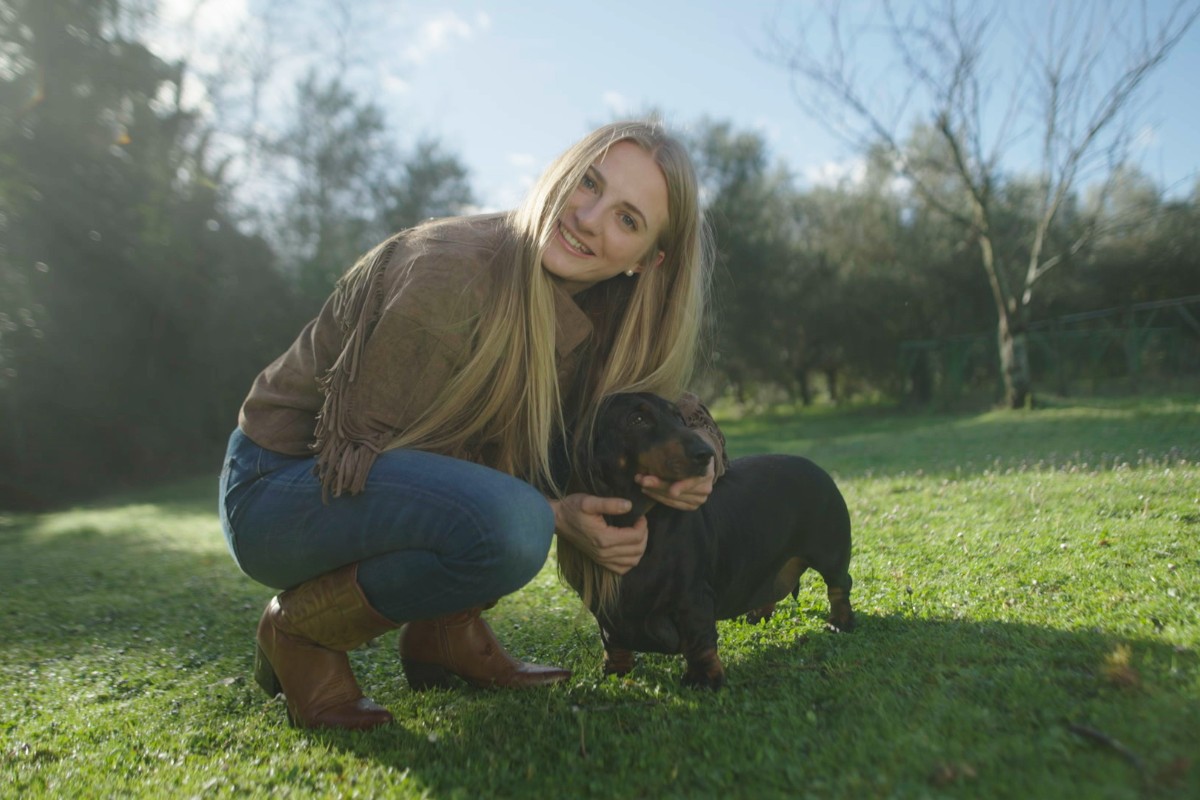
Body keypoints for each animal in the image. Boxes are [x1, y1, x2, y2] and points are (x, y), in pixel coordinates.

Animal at [561, 393, 854, 690]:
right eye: (637, 419)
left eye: (679, 417)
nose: (705, 454)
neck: (641, 519)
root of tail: (818, 468)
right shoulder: (603, 607)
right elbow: (611, 640)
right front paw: (614, 670)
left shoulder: (692, 597)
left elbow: (698, 641)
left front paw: (703, 678)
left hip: (831, 553)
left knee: (839, 586)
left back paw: (839, 623)